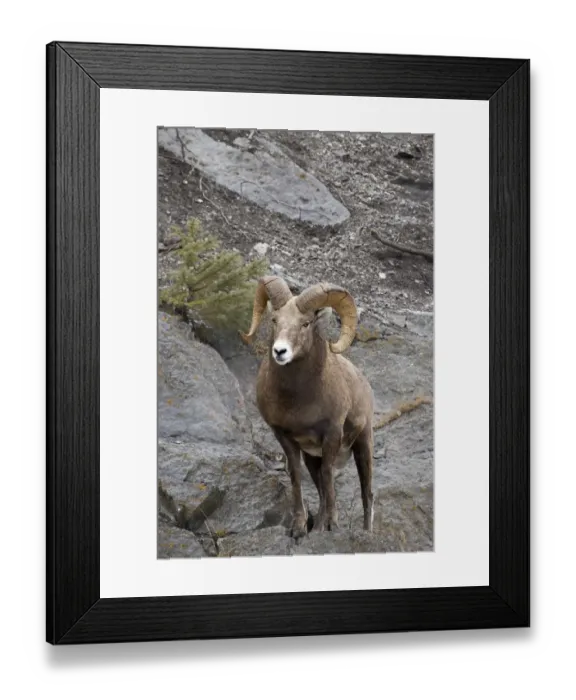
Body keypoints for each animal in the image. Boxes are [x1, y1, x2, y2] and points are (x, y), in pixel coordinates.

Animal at [240, 275, 375, 541]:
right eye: (275, 320)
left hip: (363, 443)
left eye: (305, 323)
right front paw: (300, 528)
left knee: (366, 491)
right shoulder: (285, 437)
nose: (280, 351)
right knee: (321, 485)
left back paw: (366, 532)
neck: (299, 402)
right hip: (313, 456)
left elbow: (328, 477)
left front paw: (328, 526)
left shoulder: (332, 434)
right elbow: (297, 476)